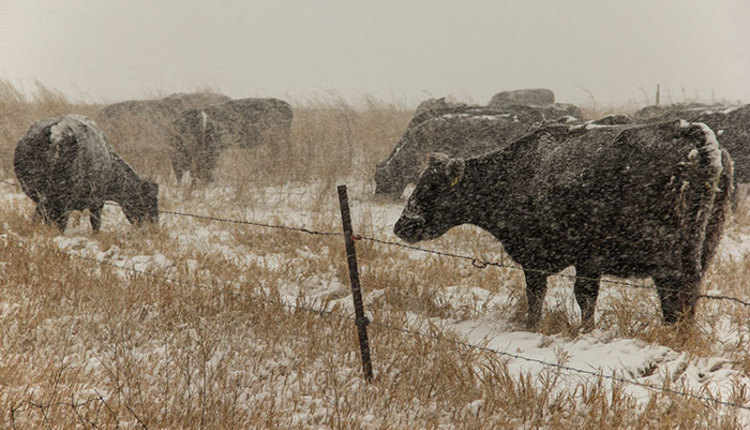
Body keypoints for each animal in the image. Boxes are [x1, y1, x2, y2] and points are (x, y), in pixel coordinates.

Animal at [13, 114, 159, 232]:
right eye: (148, 201)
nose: (154, 226)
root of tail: (56, 131)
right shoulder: (97, 200)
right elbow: (96, 223)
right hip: (62, 198)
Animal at [394, 121, 736, 330]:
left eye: (431, 187)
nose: (402, 225)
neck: (515, 173)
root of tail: (696, 134)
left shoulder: (557, 257)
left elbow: (556, 295)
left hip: (669, 260)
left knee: (675, 299)